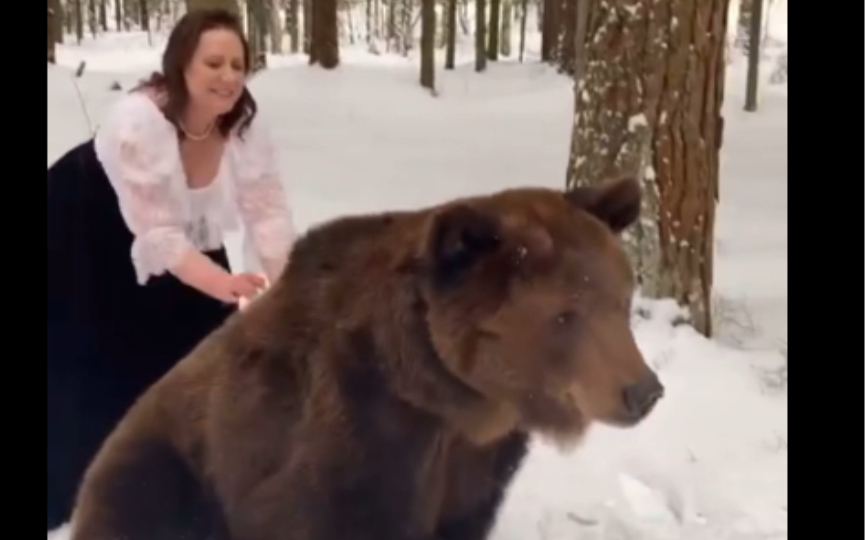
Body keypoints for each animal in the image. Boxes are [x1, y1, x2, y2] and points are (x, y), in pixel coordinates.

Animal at [69, 178, 660, 540]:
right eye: (564, 315)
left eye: (619, 299)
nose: (643, 390)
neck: (453, 399)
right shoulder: (352, 443)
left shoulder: (476, 466)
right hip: (164, 467)